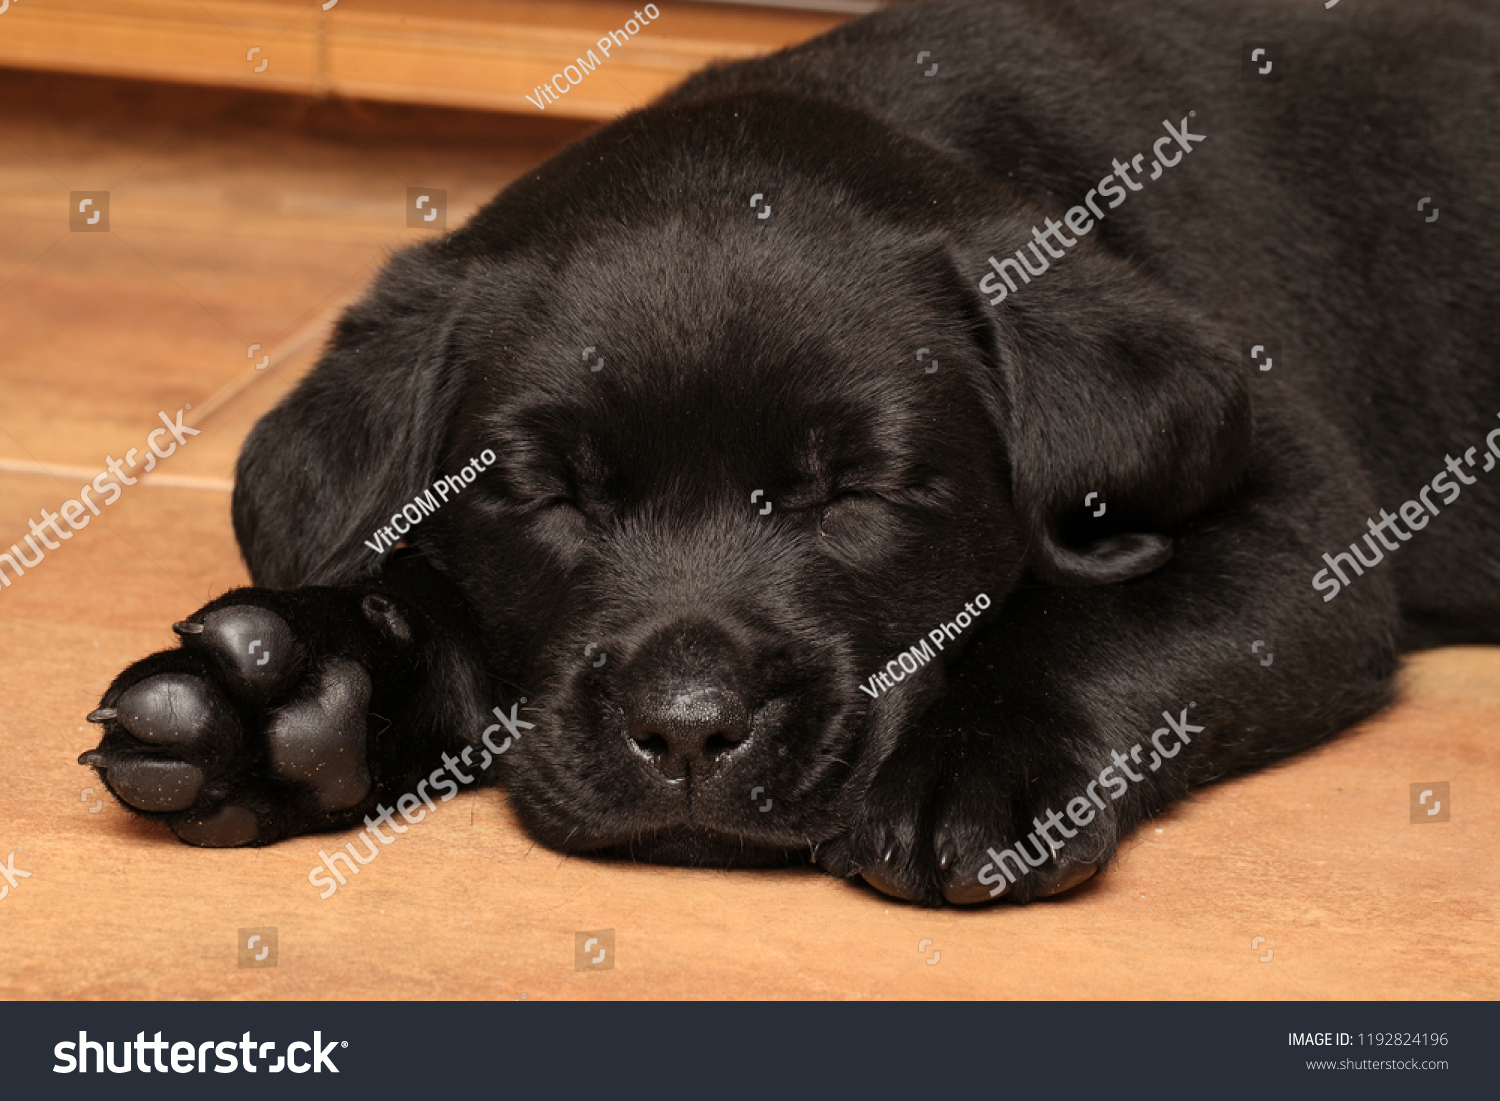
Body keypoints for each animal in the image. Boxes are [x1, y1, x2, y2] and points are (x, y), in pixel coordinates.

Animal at [79, 0, 1500, 912]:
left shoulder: (1306, 517)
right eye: (548, 496)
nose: (687, 730)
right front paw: (285, 702)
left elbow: (1107, 624)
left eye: (854, 492)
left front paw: (976, 759)